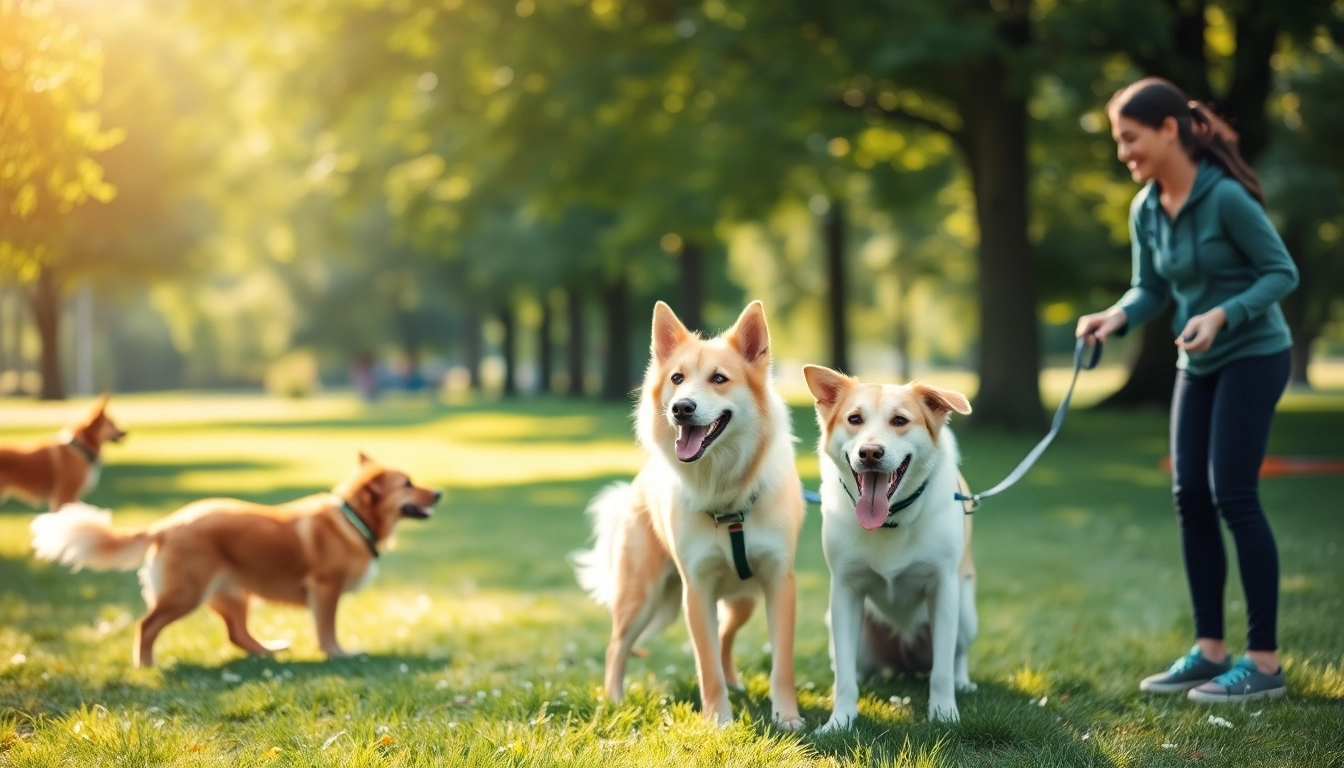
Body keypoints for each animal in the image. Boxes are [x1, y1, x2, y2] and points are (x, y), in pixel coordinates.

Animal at [30, 451, 440, 667]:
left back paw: (269, 651)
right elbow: (327, 630)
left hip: (235, 593)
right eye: (407, 483)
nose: (438, 493)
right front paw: (338, 654)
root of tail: (168, 524)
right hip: (186, 593)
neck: (354, 520)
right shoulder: (325, 590)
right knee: (147, 625)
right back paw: (146, 664)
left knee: (237, 634)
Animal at [572, 303, 801, 731]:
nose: (681, 408)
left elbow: (782, 663)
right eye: (677, 379)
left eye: (719, 379)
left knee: (726, 635)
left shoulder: (780, 582)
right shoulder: (696, 590)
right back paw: (613, 700)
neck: (726, 491)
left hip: (742, 601)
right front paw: (718, 720)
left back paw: (735, 682)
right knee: (617, 646)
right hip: (639, 597)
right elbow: (706, 665)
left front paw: (787, 716)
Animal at [795, 365, 978, 726]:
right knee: (850, 667)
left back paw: (962, 683)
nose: (870, 453)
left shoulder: (944, 588)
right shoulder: (845, 591)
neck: (891, 519)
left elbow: (942, 671)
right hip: (842, 625)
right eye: (854, 419)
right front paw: (840, 720)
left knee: (956, 657)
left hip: (965, 614)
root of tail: (903, 658)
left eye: (899, 420)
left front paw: (944, 714)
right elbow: (845, 676)